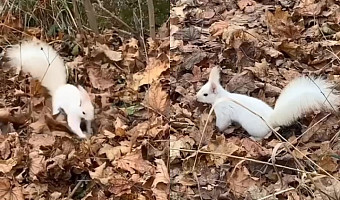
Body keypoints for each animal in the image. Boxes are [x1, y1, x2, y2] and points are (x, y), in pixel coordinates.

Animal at [197, 67, 340, 139]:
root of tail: (271, 120)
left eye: (205, 94)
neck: (221, 97)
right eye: (201, 89)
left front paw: (217, 129)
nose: (196, 98)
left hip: (253, 128)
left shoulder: (223, 111)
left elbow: (223, 122)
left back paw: (254, 138)